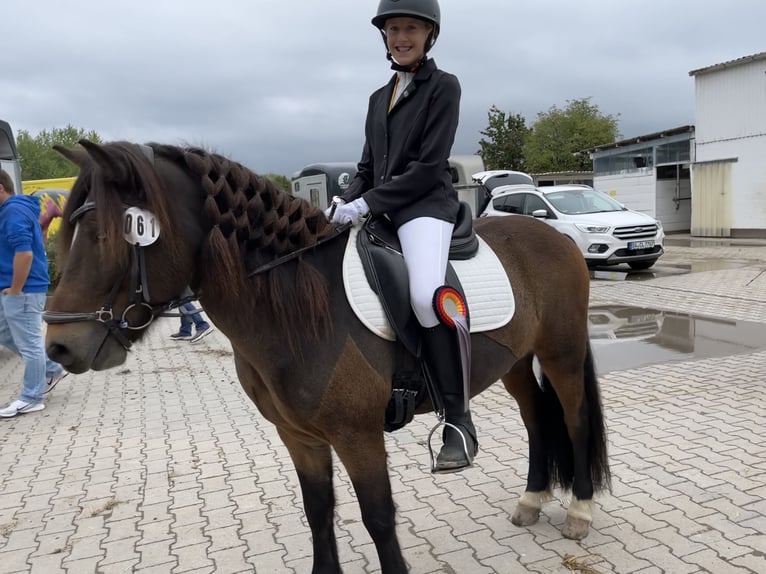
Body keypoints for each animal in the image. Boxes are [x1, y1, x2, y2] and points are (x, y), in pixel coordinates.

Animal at [45, 140, 610, 574]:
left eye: (103, 235)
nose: (58, 346)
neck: (300, 300)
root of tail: (553, 235)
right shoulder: (298, 436)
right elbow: (319, 511)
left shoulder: (357, 436)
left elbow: (378, 518)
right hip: (515, 362)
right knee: (536, 421)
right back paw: (532, 500)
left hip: (560, 354)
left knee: (574, 420)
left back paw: (581, 513)